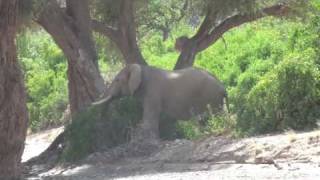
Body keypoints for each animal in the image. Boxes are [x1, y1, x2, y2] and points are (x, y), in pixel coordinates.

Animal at [92, 64, 228, 143]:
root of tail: (222, 87)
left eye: (117, 80)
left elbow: (150, 115)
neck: (141, 69)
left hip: (211, 96)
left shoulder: (152, 92)